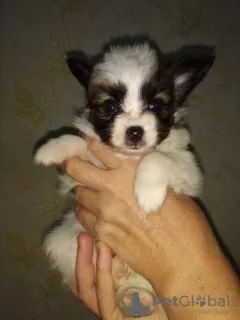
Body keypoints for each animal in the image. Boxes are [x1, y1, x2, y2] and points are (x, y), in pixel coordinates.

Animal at [33, 40, 214, 318]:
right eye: (110, 107)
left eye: (154, 105)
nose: (135, 132)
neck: (129, 158)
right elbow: (78, 141)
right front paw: (51, 148)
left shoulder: (189, 168)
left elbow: (156, 159)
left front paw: (147, 196)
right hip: (63, 238)